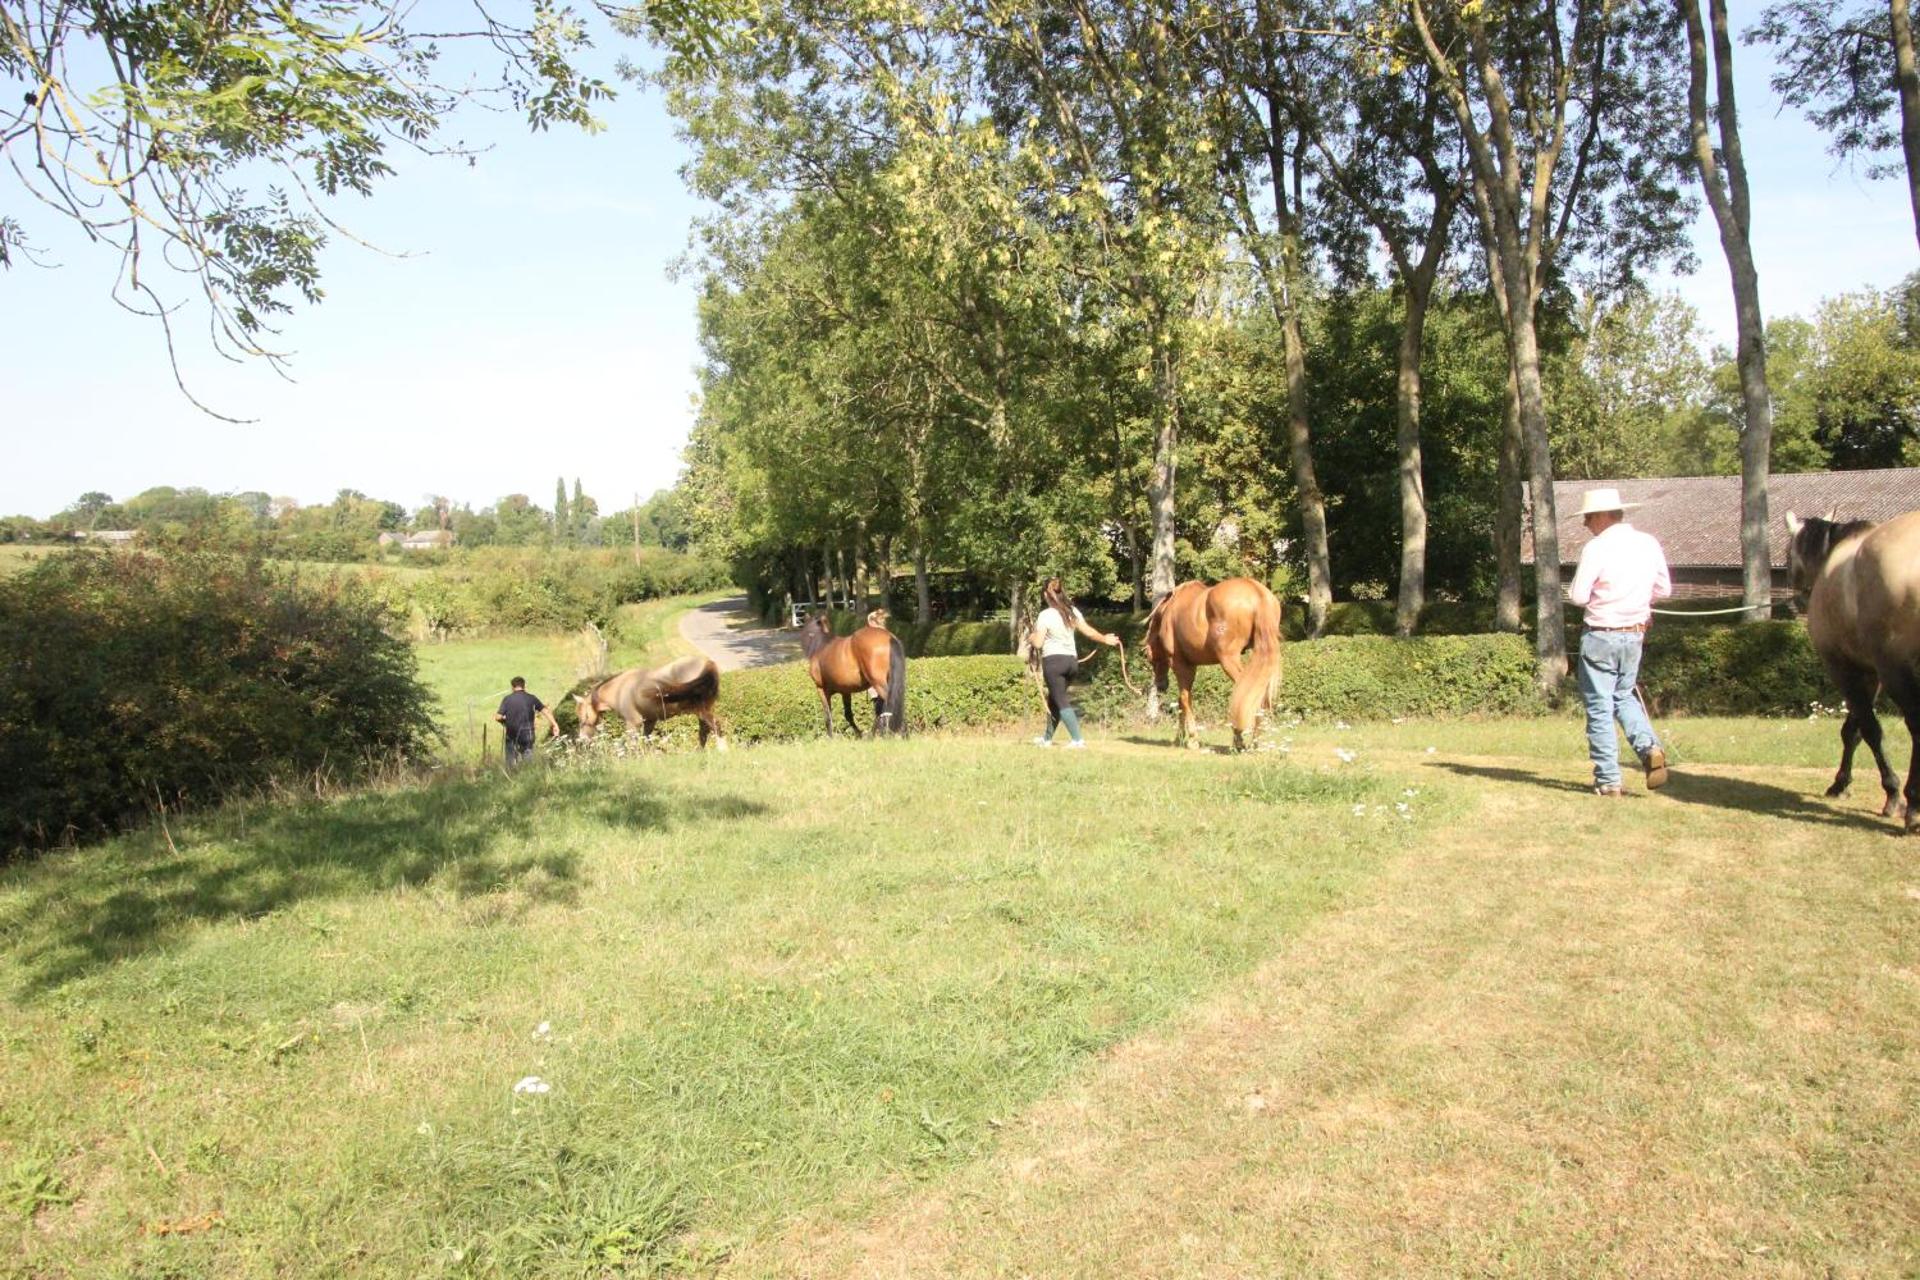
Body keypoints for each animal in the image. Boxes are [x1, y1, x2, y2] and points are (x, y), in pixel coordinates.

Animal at [574, 654, 726, 750]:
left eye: (584, 716)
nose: (582, 739)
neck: (620, 688)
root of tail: (707, 662)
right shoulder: (650, 721)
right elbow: (646, 740)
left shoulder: (633, 723)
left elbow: (630, 743)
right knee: (704, 732)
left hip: (700, 710)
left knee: (715, 726)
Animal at [1144, 577, 1284, 752]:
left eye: (1149, 657)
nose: (1161, 685)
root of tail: (1257, 592)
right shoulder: (1191, 666)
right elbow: (1183, 701)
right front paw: (1179, 738)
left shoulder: (1181, 665)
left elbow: (1184, 699)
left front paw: (1192, 739)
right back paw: (1254, 743)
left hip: (1229, 660)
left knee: (1245, 693)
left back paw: (1239, 741)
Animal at [1786, 509, 1920, 832]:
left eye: (1787, 555)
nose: (1797, 601)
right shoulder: (1869, 675)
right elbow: (1853, 730)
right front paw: (1840, 784)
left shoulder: (1845, 670)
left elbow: (1869, 730)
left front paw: (1892, 794)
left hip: (1896, 671)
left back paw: (1913, 806)